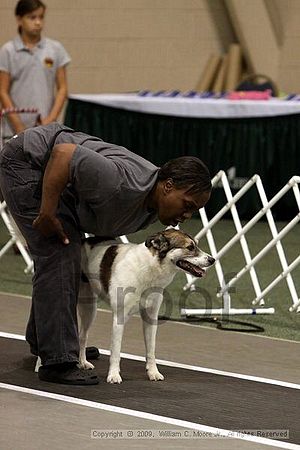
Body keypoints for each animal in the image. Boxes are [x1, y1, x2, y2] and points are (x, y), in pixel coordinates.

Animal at [77, 229, 213, 384]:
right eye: (190, 247)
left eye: (196, 245)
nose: (212, 260)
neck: (148, 268)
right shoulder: (119, 318)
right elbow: (116, 351)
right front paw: (114, 375)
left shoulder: (151, 318)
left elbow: (151, 350)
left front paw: (153, 372)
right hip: (88, 308)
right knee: (82, 336)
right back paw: (82, 362)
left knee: (82, 336)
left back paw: (83, 362)